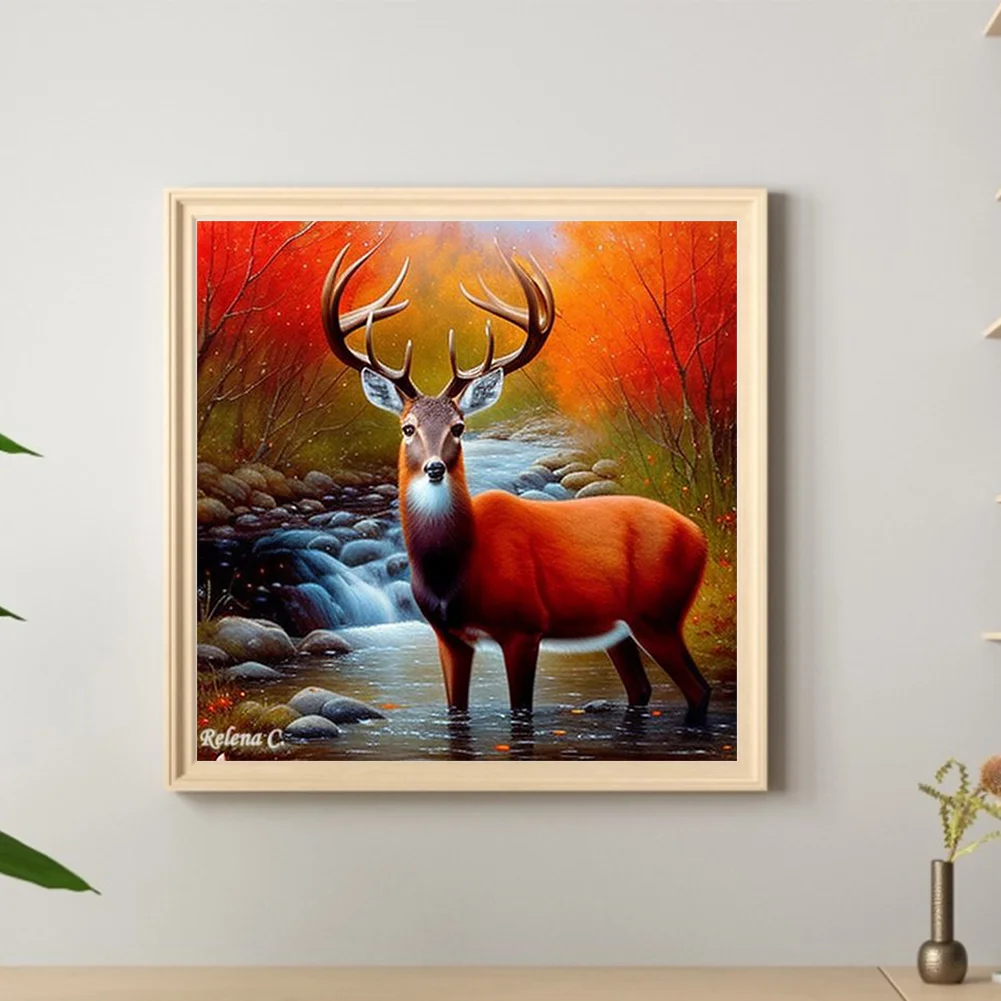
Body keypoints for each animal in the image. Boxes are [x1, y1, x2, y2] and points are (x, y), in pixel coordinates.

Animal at [318, 241, 712, 724]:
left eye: (459, 427)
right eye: (407, 427)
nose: (434, 468)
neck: (458, 567)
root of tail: (699, 535)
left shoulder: (524, 627)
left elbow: (520, 711)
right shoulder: (448, 635)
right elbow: (456, 711)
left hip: (658, 614)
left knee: (698, 690)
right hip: (620, 630)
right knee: (641, 689)